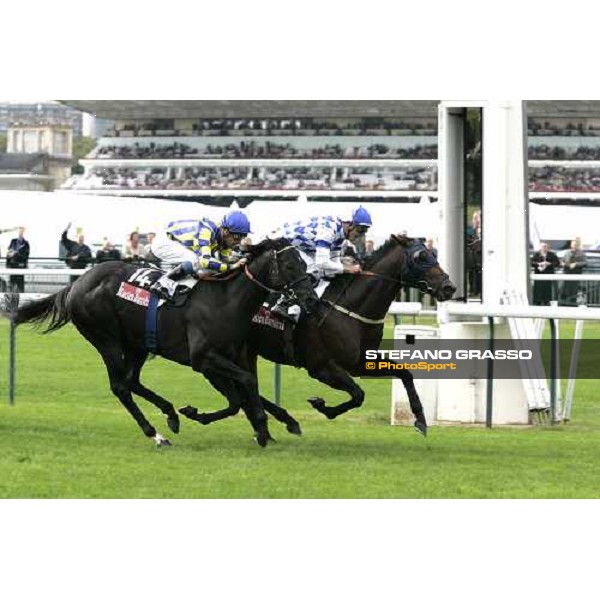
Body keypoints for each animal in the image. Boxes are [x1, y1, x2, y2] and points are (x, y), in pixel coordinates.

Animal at [9, 238, 318, 446]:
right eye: (290, 265)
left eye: (305, 263)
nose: (312, 299)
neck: (226, 300)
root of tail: (76, 283)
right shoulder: (204, 360)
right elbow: (243, 389)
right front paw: (258, 429)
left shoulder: (228, 358)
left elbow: (241, 395)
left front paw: (268, 427)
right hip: (106, 339)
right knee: (121, 386)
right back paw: (155, 434)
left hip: (138, 343)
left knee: (131, 380)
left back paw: (170, 414)